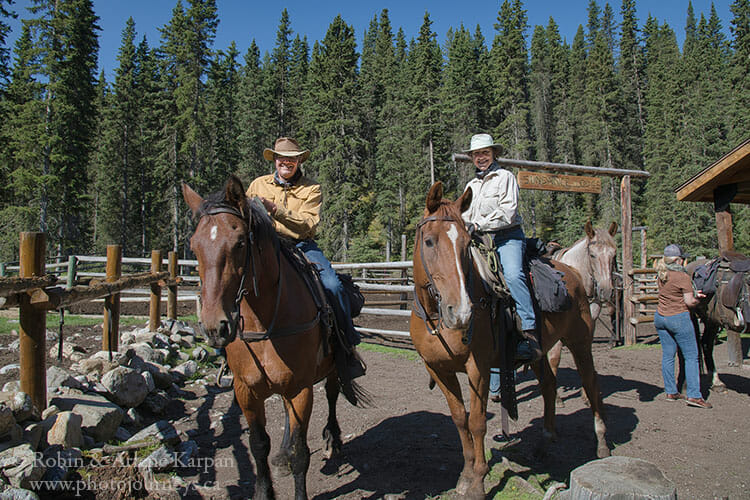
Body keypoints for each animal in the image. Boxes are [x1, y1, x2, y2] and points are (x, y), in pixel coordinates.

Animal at [182, 177, 358, 500]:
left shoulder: (301, 389)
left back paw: (332, 441)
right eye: (193, 245)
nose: (215, 327)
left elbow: (301, 452)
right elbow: (258, 446)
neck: (266, 326)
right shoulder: (246, 392)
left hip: (331, 369)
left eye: (240, 242)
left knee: (331, 394)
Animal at [412, 183, 612, 500]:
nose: (462, 313)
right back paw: (544, 444)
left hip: (580, 342)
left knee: (591, 383)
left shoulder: (479, 368)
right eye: (429, 242)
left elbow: (477, 422)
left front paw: (478, 481)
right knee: (549, 385)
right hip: (540, 349)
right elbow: (459, 418)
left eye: (466, 245)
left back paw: (602, 444)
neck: (435, 316)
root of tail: (574, 273)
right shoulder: (437, 369)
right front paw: (464, 475)